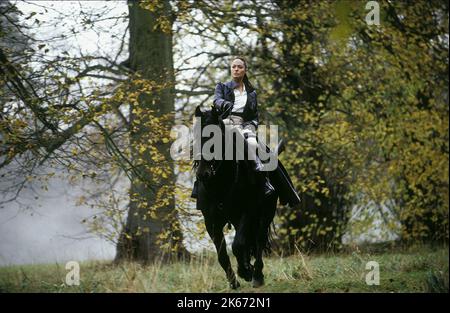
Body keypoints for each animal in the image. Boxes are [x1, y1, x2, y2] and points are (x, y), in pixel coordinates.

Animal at [192, 105, 284, 288]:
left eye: (214, 136)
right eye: (196, 135)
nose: (203, 174)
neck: (220, 184)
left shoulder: (248, 212)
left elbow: (237, 244)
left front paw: (245, 272)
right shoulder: (211, 221)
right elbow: (222, 254)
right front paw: (234, 281)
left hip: (265, 214)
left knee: (258, 241)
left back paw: (257, 275)